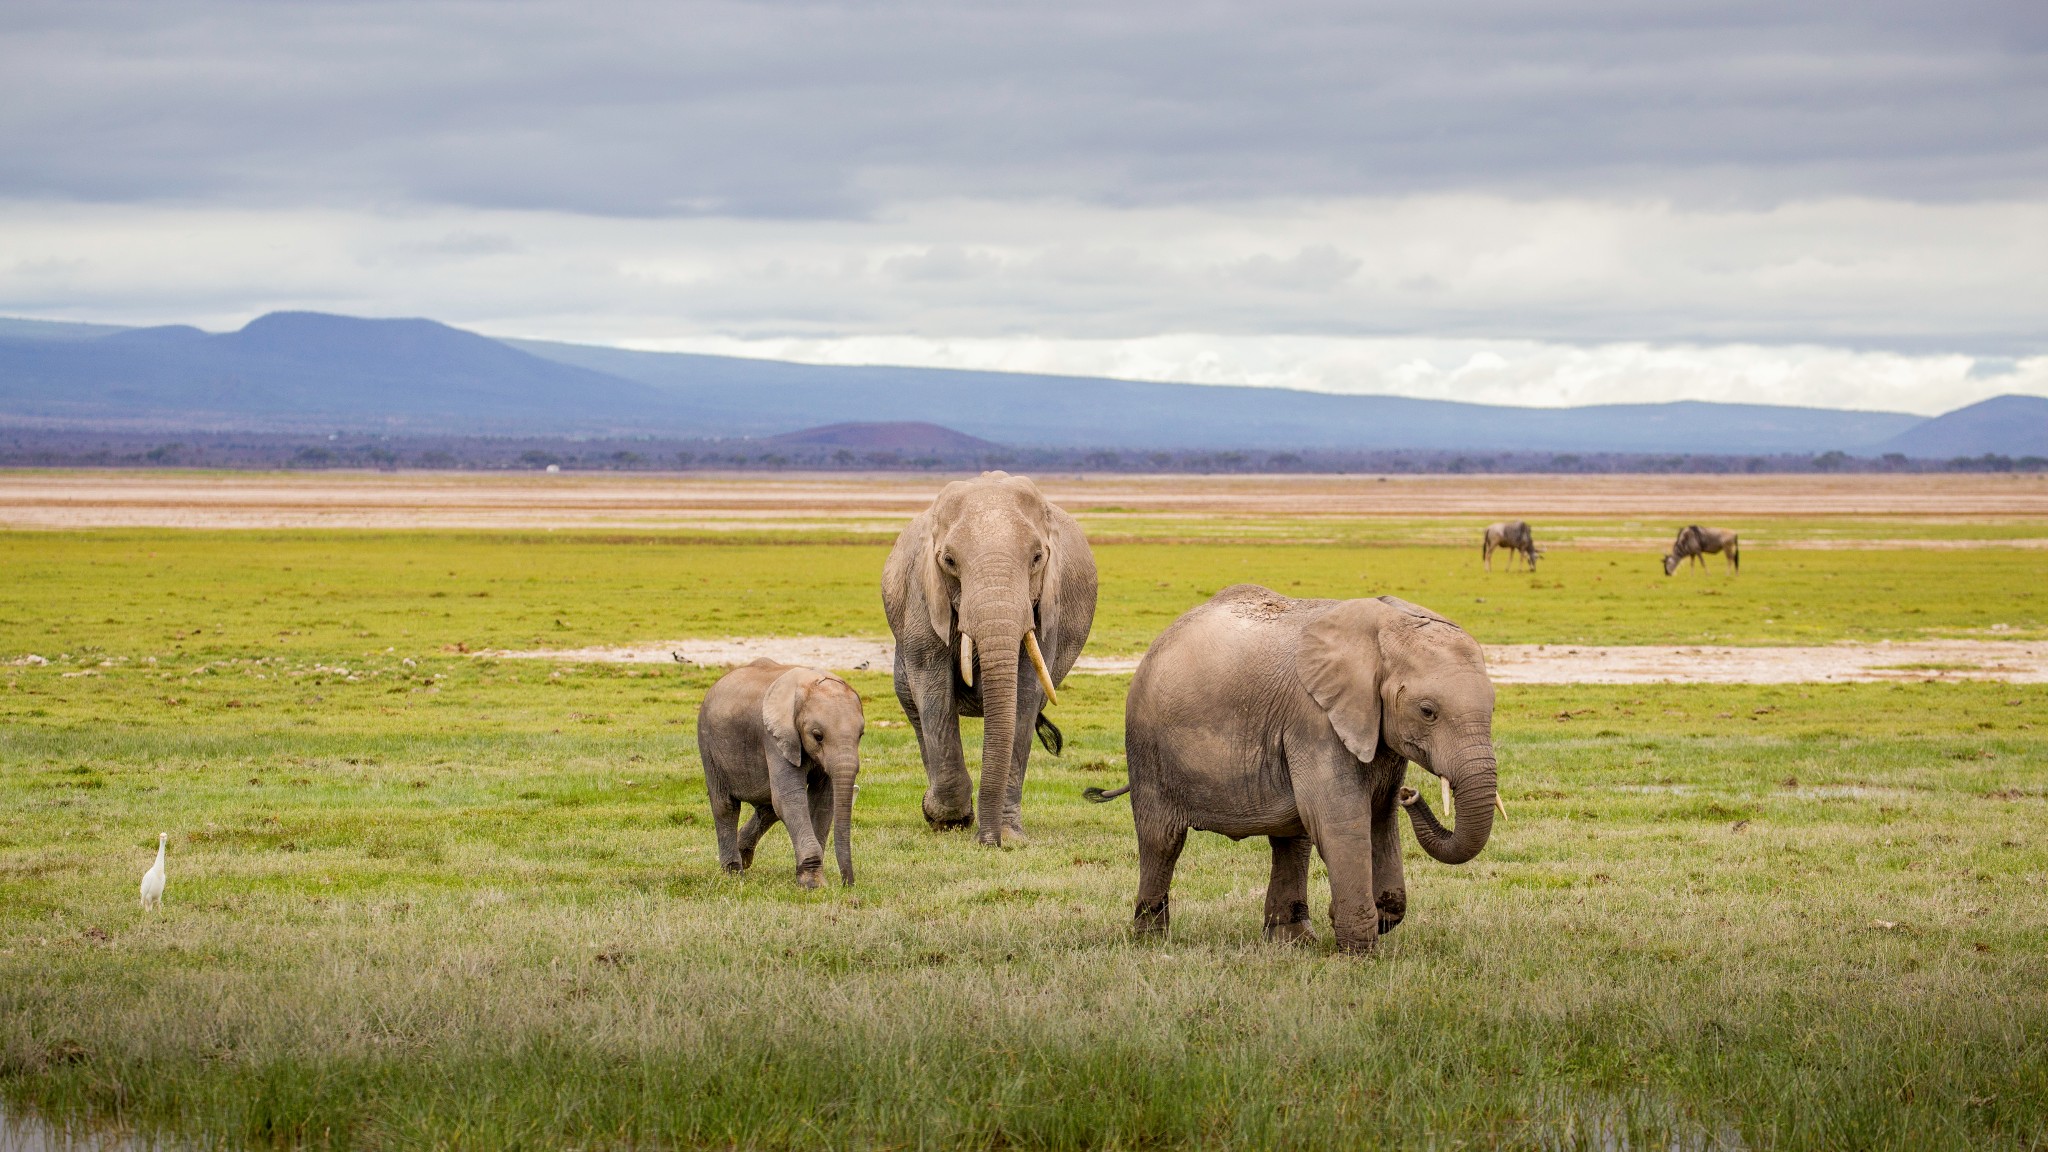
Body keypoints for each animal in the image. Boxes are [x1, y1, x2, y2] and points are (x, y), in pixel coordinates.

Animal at [700, 655, 868, 889]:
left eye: (861, 735)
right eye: (817, 735)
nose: (848, 884)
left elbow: (823, 802)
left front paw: (811, 878)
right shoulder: (774, 737)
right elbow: (790, 799)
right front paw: (814, 884)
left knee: (768, 808)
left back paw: (744, 856)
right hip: (708, 743)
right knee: (725, 806)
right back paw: (734, 873)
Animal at [884, 469, 1097, 844]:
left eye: (1037, 558)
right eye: (949, 561)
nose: (987, 841)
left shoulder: (1046, 608)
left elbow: (1024, 695)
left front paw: (1009, 836)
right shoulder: (922, 596)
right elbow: (933, 691)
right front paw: (950, 819)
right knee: (914, 707)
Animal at [1097, 582, 1499, 951]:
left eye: (1493, 707)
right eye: (1428, 711)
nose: (1411, 794)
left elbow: (1380, 815)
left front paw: (1377, 915)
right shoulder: (1315, 719)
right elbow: (1341, 819)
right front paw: (1358, 953)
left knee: (1293, 838)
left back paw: (1292, 940)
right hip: (1148, 746)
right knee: (1161, 839)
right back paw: (1151, 942)